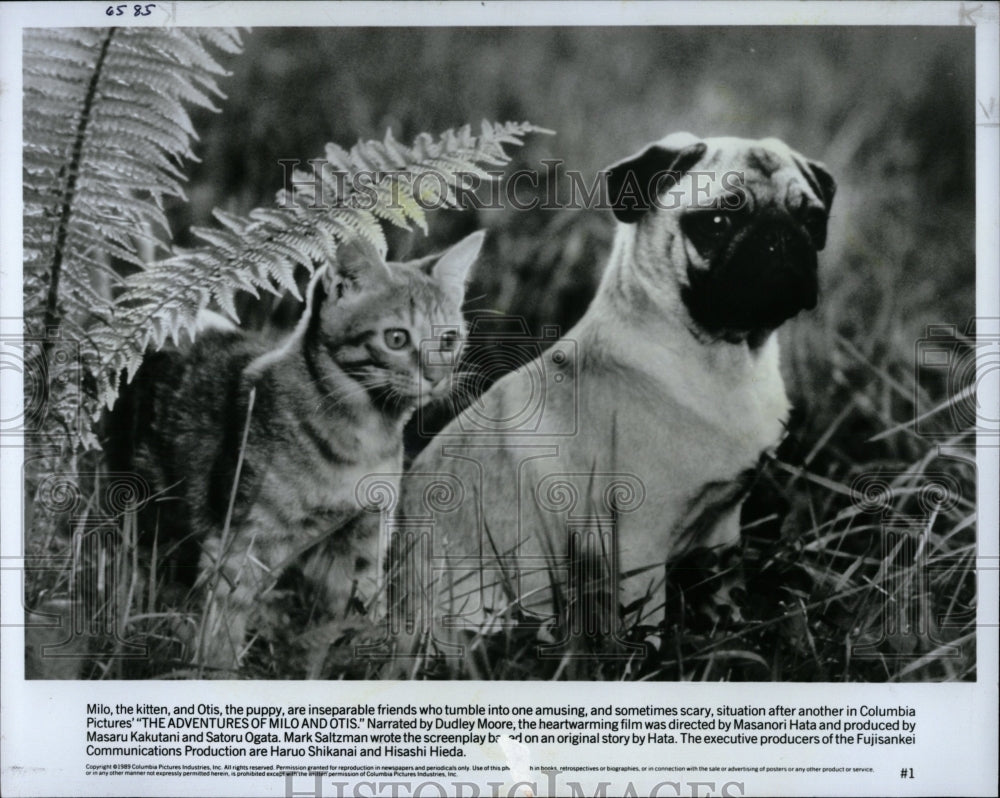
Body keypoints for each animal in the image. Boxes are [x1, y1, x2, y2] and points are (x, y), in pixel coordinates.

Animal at [107, 231, 482, 676]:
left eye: (448, 339)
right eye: (396, 338)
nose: (438, 378)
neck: (365, 439)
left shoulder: (362, 545)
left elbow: (351, 624)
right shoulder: (244, 543)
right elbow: (223, 625)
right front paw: (216, 670)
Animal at [390, 131, 836, 656]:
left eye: (812, 219)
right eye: (718, 221)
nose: (780, 238)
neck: (728, 357)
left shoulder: (722, 528)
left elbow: (723, 590)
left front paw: (731, 634)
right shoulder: (638, 543)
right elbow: (648, 624)